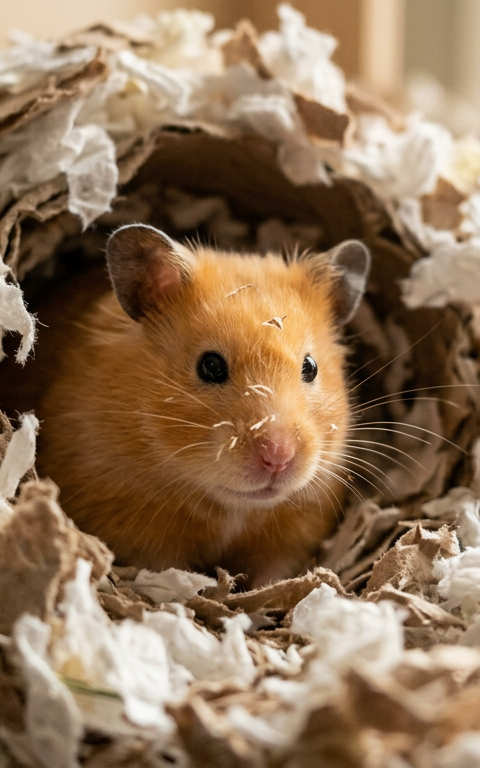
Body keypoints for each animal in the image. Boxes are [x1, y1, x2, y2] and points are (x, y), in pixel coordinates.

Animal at [37, 224, 370, 588]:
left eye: (310, 367)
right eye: (210, 366)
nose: (278, 458)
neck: (231, 508)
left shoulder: (298, 527)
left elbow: (274, 572)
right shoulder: (131, 524)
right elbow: (166, 570)